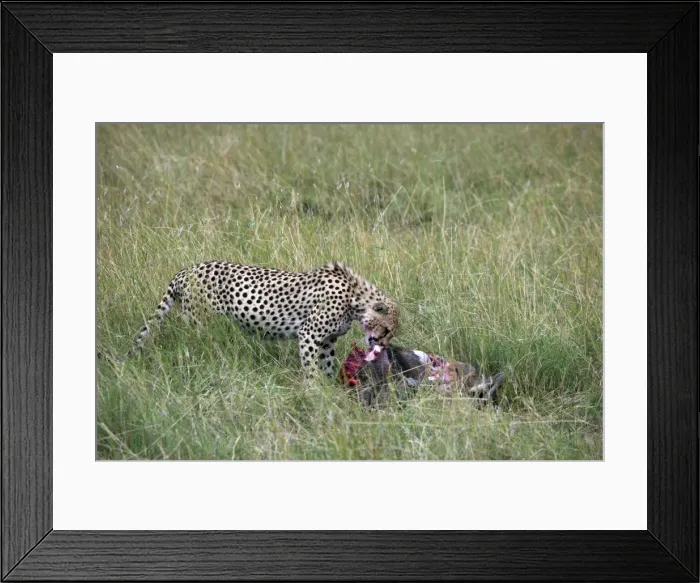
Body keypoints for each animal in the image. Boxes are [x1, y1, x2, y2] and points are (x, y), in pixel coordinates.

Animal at [125, 260, 399, 379]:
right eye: (387, 330)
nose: (383, 345)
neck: (354, 300)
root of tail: (185, 269)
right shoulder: (309, 335)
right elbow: (311, 368)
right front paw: (314, 391)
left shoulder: (328, 340)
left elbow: (328, 365)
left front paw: (331, 389)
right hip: (201, 324)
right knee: (195, 349)